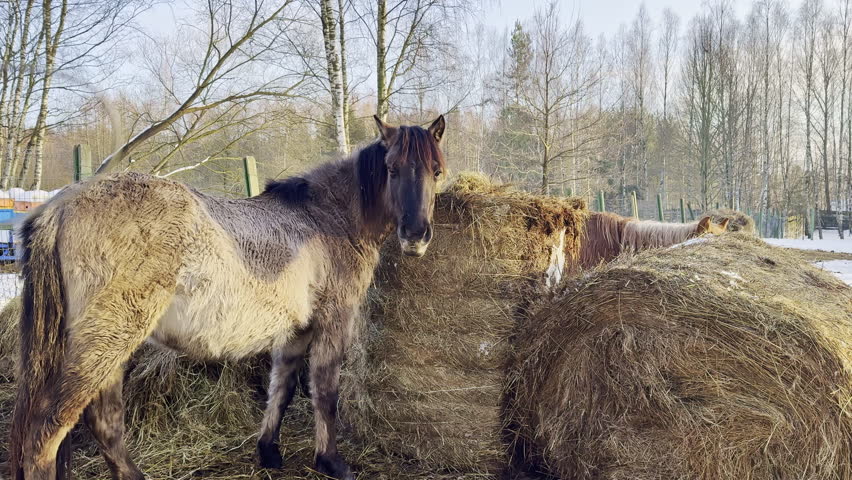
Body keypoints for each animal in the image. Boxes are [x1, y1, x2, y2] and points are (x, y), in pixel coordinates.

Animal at [8, 115, 447, 480]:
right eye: (391, 169)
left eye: (436, 171)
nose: (416, 236)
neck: (325, 219)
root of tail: (60, 206)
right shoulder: (332, 323)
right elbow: (325, 393)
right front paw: (331, 461)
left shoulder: (296, 332)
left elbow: (281, 388)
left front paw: (268, 451)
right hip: (107, 340)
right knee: (44, 435)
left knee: (105, 422)